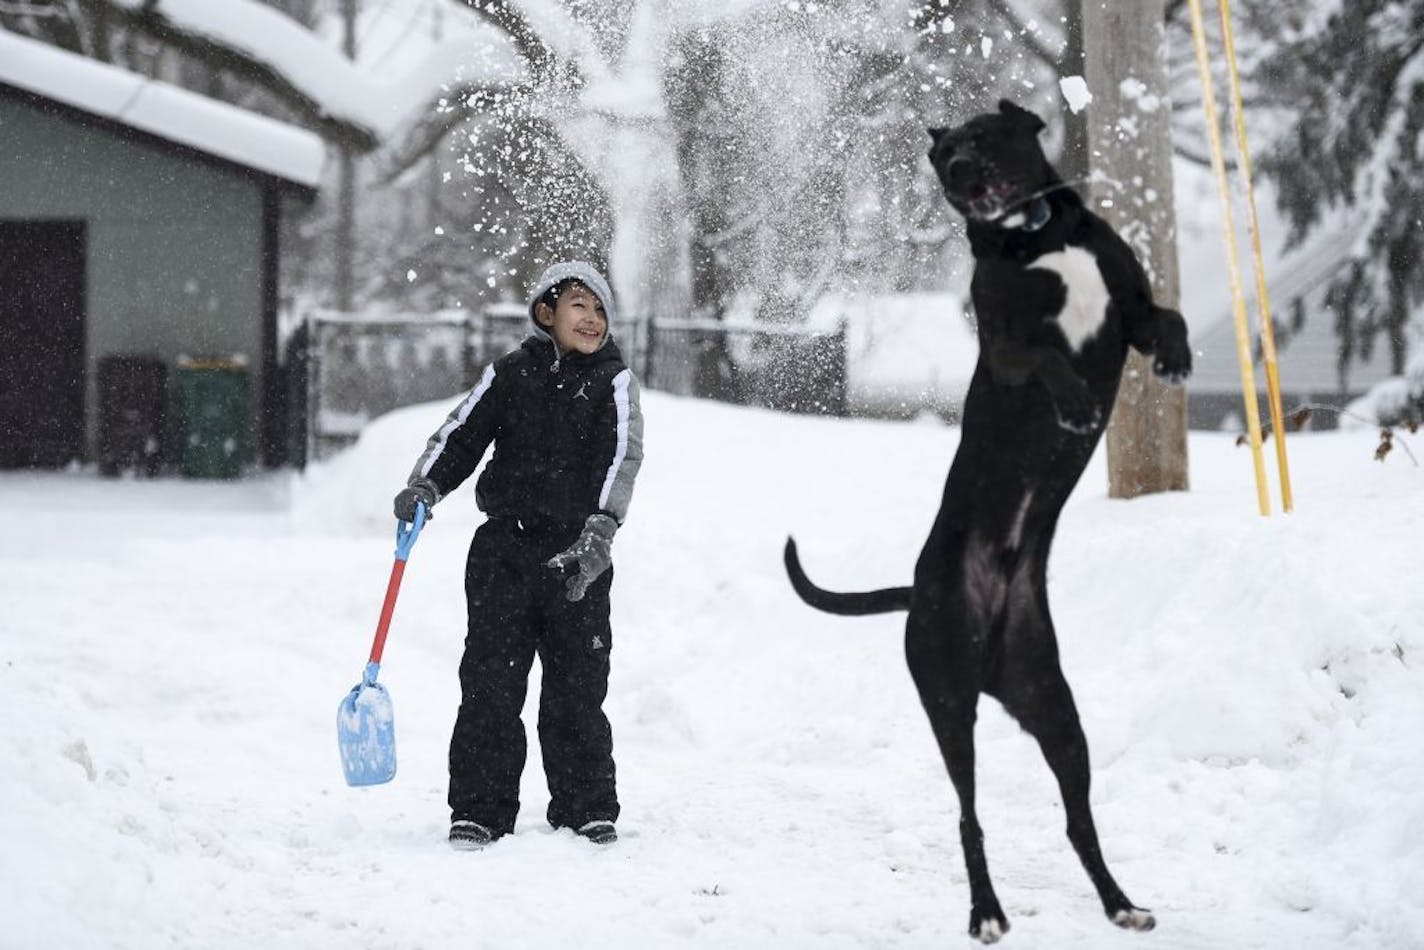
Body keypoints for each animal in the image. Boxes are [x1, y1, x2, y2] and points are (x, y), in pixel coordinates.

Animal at [786, 100, 1196, 940]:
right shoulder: (1006, 346)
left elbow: (1163, 316)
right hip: (950, 701)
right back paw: (986, 911)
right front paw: (1072, 400)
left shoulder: (1130, 312)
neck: (1035, 235)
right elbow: (1044, 355)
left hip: (1056, 709)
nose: (960, 173)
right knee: (969, 816)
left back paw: (1121, 903)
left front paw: (1176, 357)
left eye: (982, 138)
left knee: (1077, 819)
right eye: (943, 156)